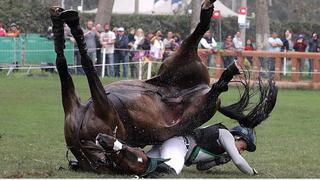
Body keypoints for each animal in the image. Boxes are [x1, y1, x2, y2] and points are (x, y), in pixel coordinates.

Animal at [50, 0, 278, 176]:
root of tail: (200, 88)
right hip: (181, 70)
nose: (104, 141)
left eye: (135, 158)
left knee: (70, 63)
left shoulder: (104, 111)